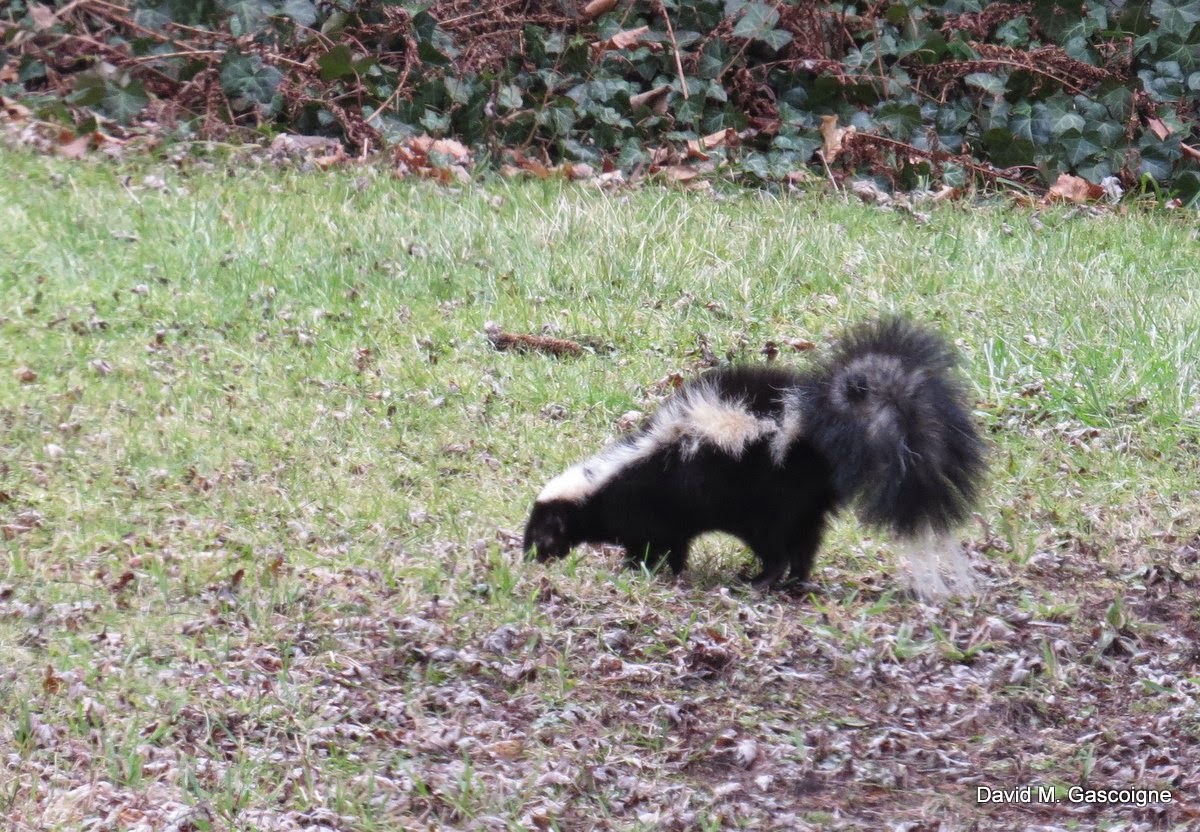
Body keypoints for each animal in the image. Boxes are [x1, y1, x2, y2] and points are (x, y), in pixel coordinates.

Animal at [523, 316, 984, 597]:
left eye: (541, 532)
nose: (530, 558)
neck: (605, 482)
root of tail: (805, 426)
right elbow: (674, 546)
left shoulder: (653, 507)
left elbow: (657, 544)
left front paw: (640, 569)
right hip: (804, 500)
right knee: (806, 540)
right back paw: (797, 580)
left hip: (765, 496)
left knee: (776, 543)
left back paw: (762, 579)